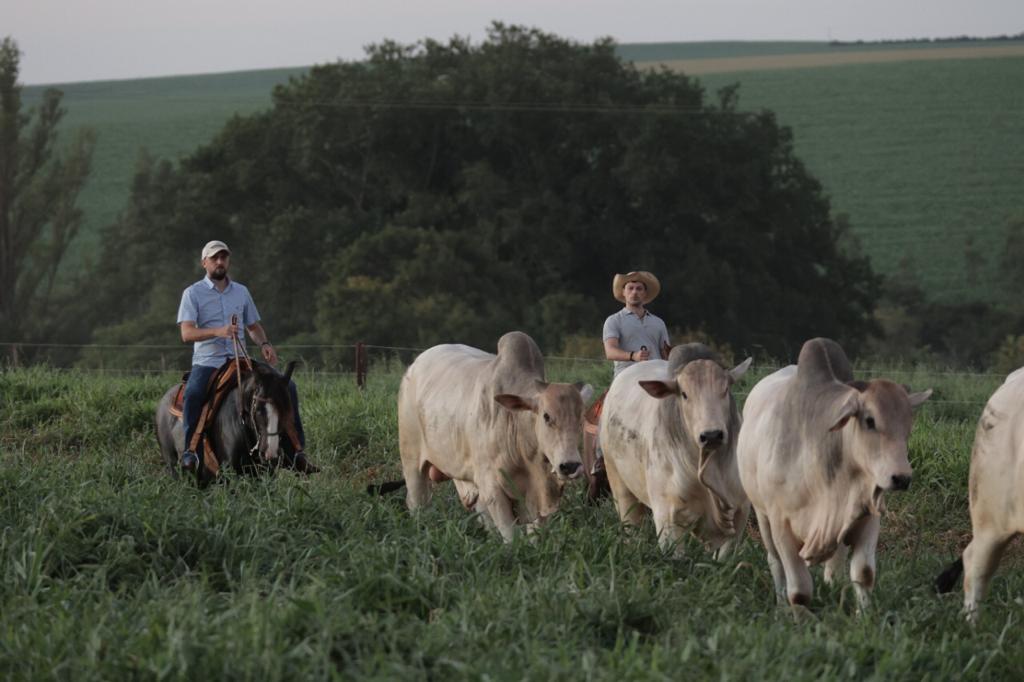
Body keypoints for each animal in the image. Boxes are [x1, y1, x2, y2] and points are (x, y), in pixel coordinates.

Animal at [397, 329, 598, 540]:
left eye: (581, 418)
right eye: (546, 416)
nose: (570, 466)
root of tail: (416, 364)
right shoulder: (493, 489)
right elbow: (511, 536)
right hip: (411, 460)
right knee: (416, 502)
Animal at [598, 342, 753, 557]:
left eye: (725, 389)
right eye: (685, 394)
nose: (712, 435)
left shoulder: (739, 515)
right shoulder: (667, 519)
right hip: (618, 483)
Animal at [733, 337, 933, 606]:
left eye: (908, 425)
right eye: (870, 420)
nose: (901, 478)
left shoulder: (867, 518)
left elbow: (864, 574)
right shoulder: (781, 524)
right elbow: (799, 590)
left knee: (834, 566)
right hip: (762, 514)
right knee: (774, 562)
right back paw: (781, 601)